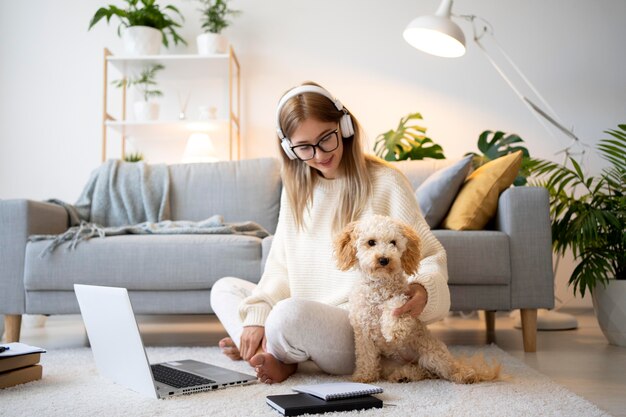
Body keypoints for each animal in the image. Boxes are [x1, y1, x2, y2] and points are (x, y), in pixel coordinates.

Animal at [334, 216, 500, 382]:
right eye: (371, 242)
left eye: (393, 242)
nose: (384, 259)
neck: (379, 287)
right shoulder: (363, 332)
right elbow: (366, 357)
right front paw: (364, 376)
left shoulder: (406, 299)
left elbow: (395, 305)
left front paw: (393, 330)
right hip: (390, 363)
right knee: (422, 371)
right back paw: (403, 375)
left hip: (433, 353)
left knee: (446, 369)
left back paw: (465, 375)